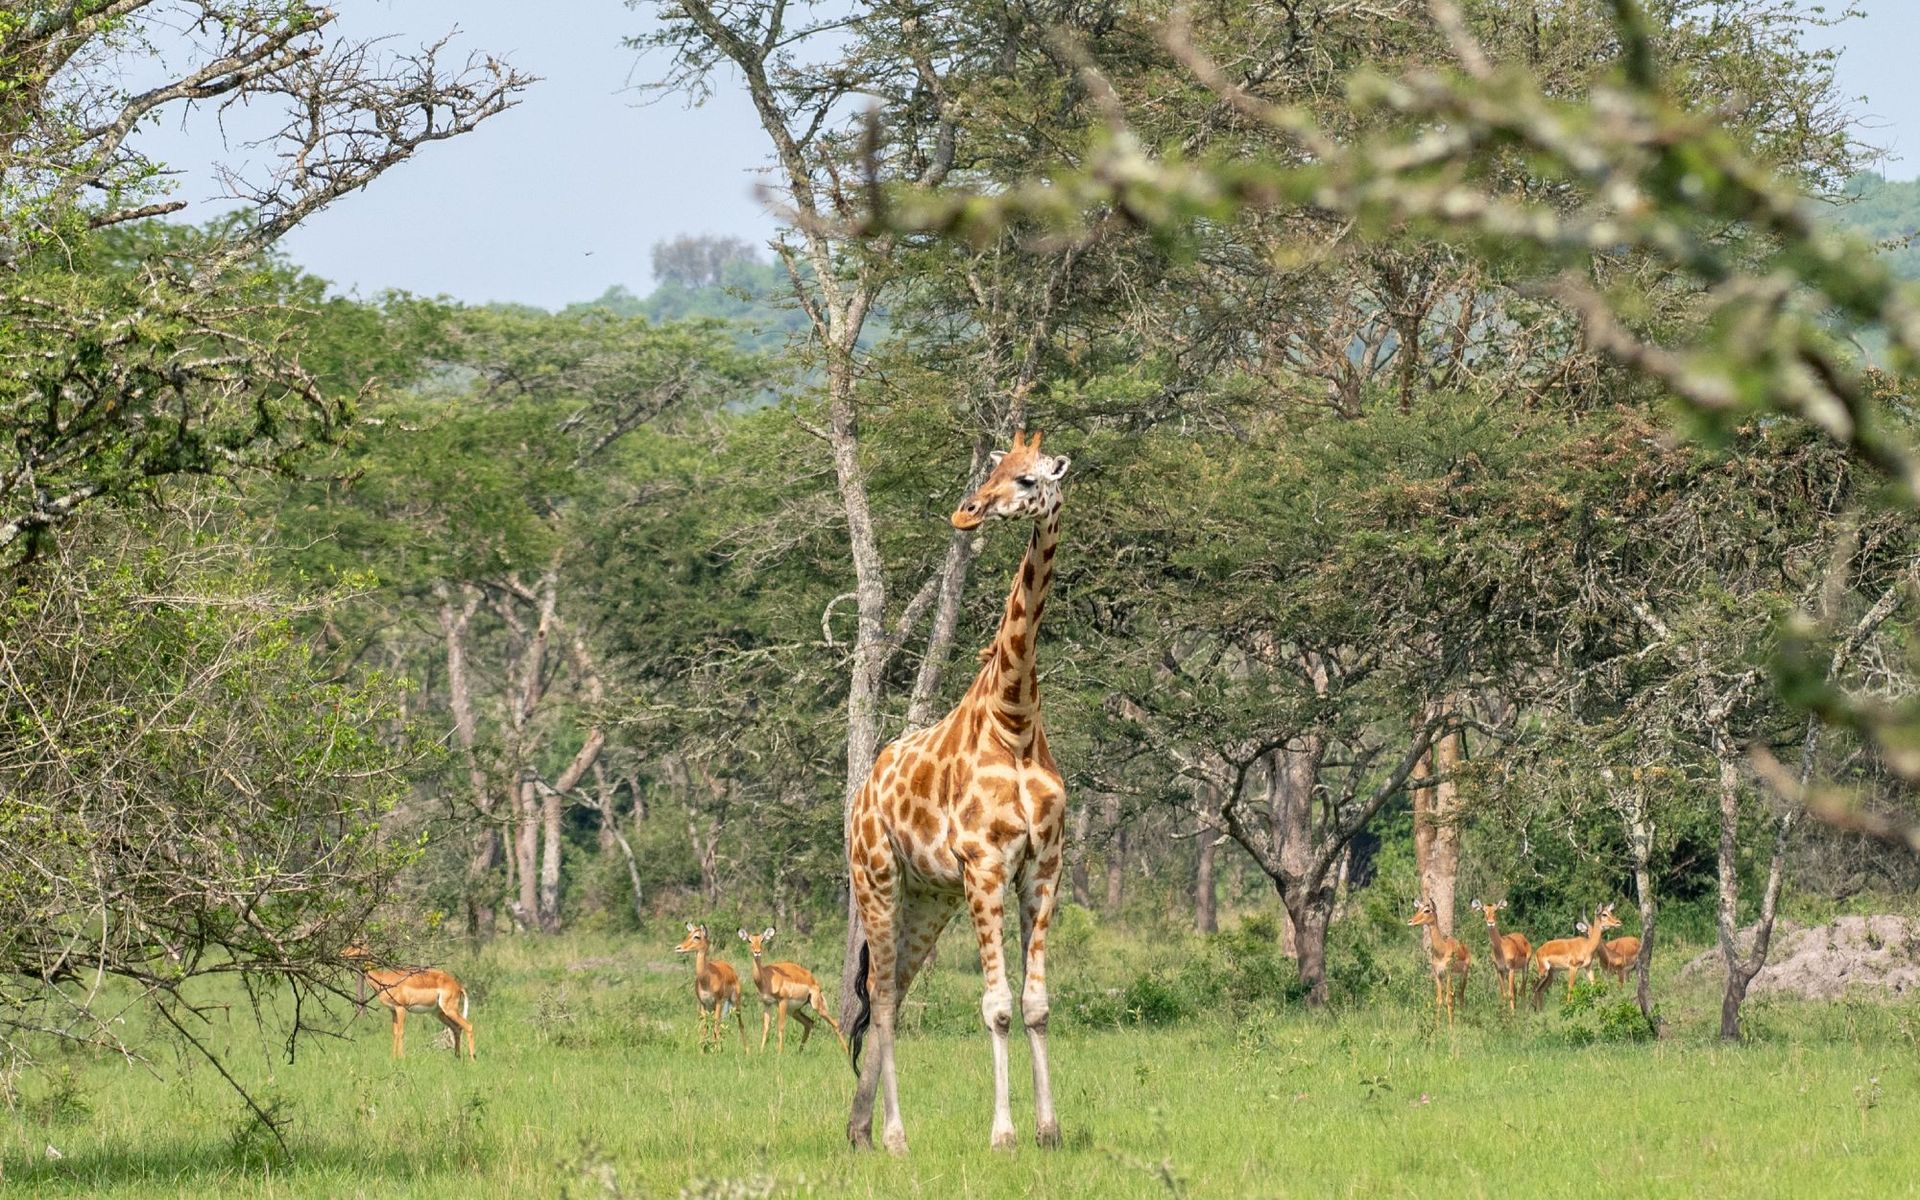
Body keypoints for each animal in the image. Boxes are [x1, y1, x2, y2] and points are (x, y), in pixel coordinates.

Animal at [845, 429, 1072, 1155]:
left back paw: (860, 1128)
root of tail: (862, 795)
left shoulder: (1043, 866)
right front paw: (1003, 1134)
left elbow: (1035, 1005)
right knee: (883, 1000)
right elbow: (996, 1008)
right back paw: (893, 1136)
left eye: (1029, 479)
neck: (1016, 719)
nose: (967, 512)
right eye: (995, 469)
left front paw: (1048, 1130)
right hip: (877, 879)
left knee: (892, 992)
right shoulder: (985, 864)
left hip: (929, 897)